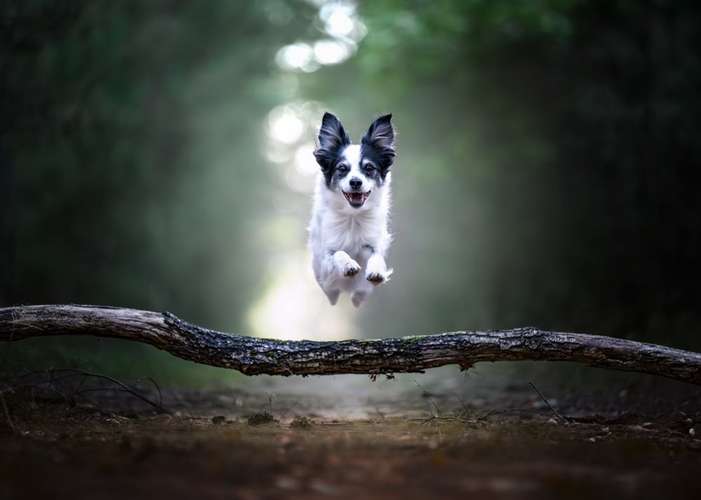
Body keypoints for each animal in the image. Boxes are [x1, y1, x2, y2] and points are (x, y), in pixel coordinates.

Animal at [306, 113, 394, 306]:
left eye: (369, 168)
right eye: (342, 168)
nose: (355, 182)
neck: (353, 216)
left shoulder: (373, 243)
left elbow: (375, 255)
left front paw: (376, 270)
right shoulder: (325, 260)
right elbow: (337, 253)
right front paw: (348, 265)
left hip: (362, 291)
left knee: (359, 295)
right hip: (326, 284)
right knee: (333, 295)